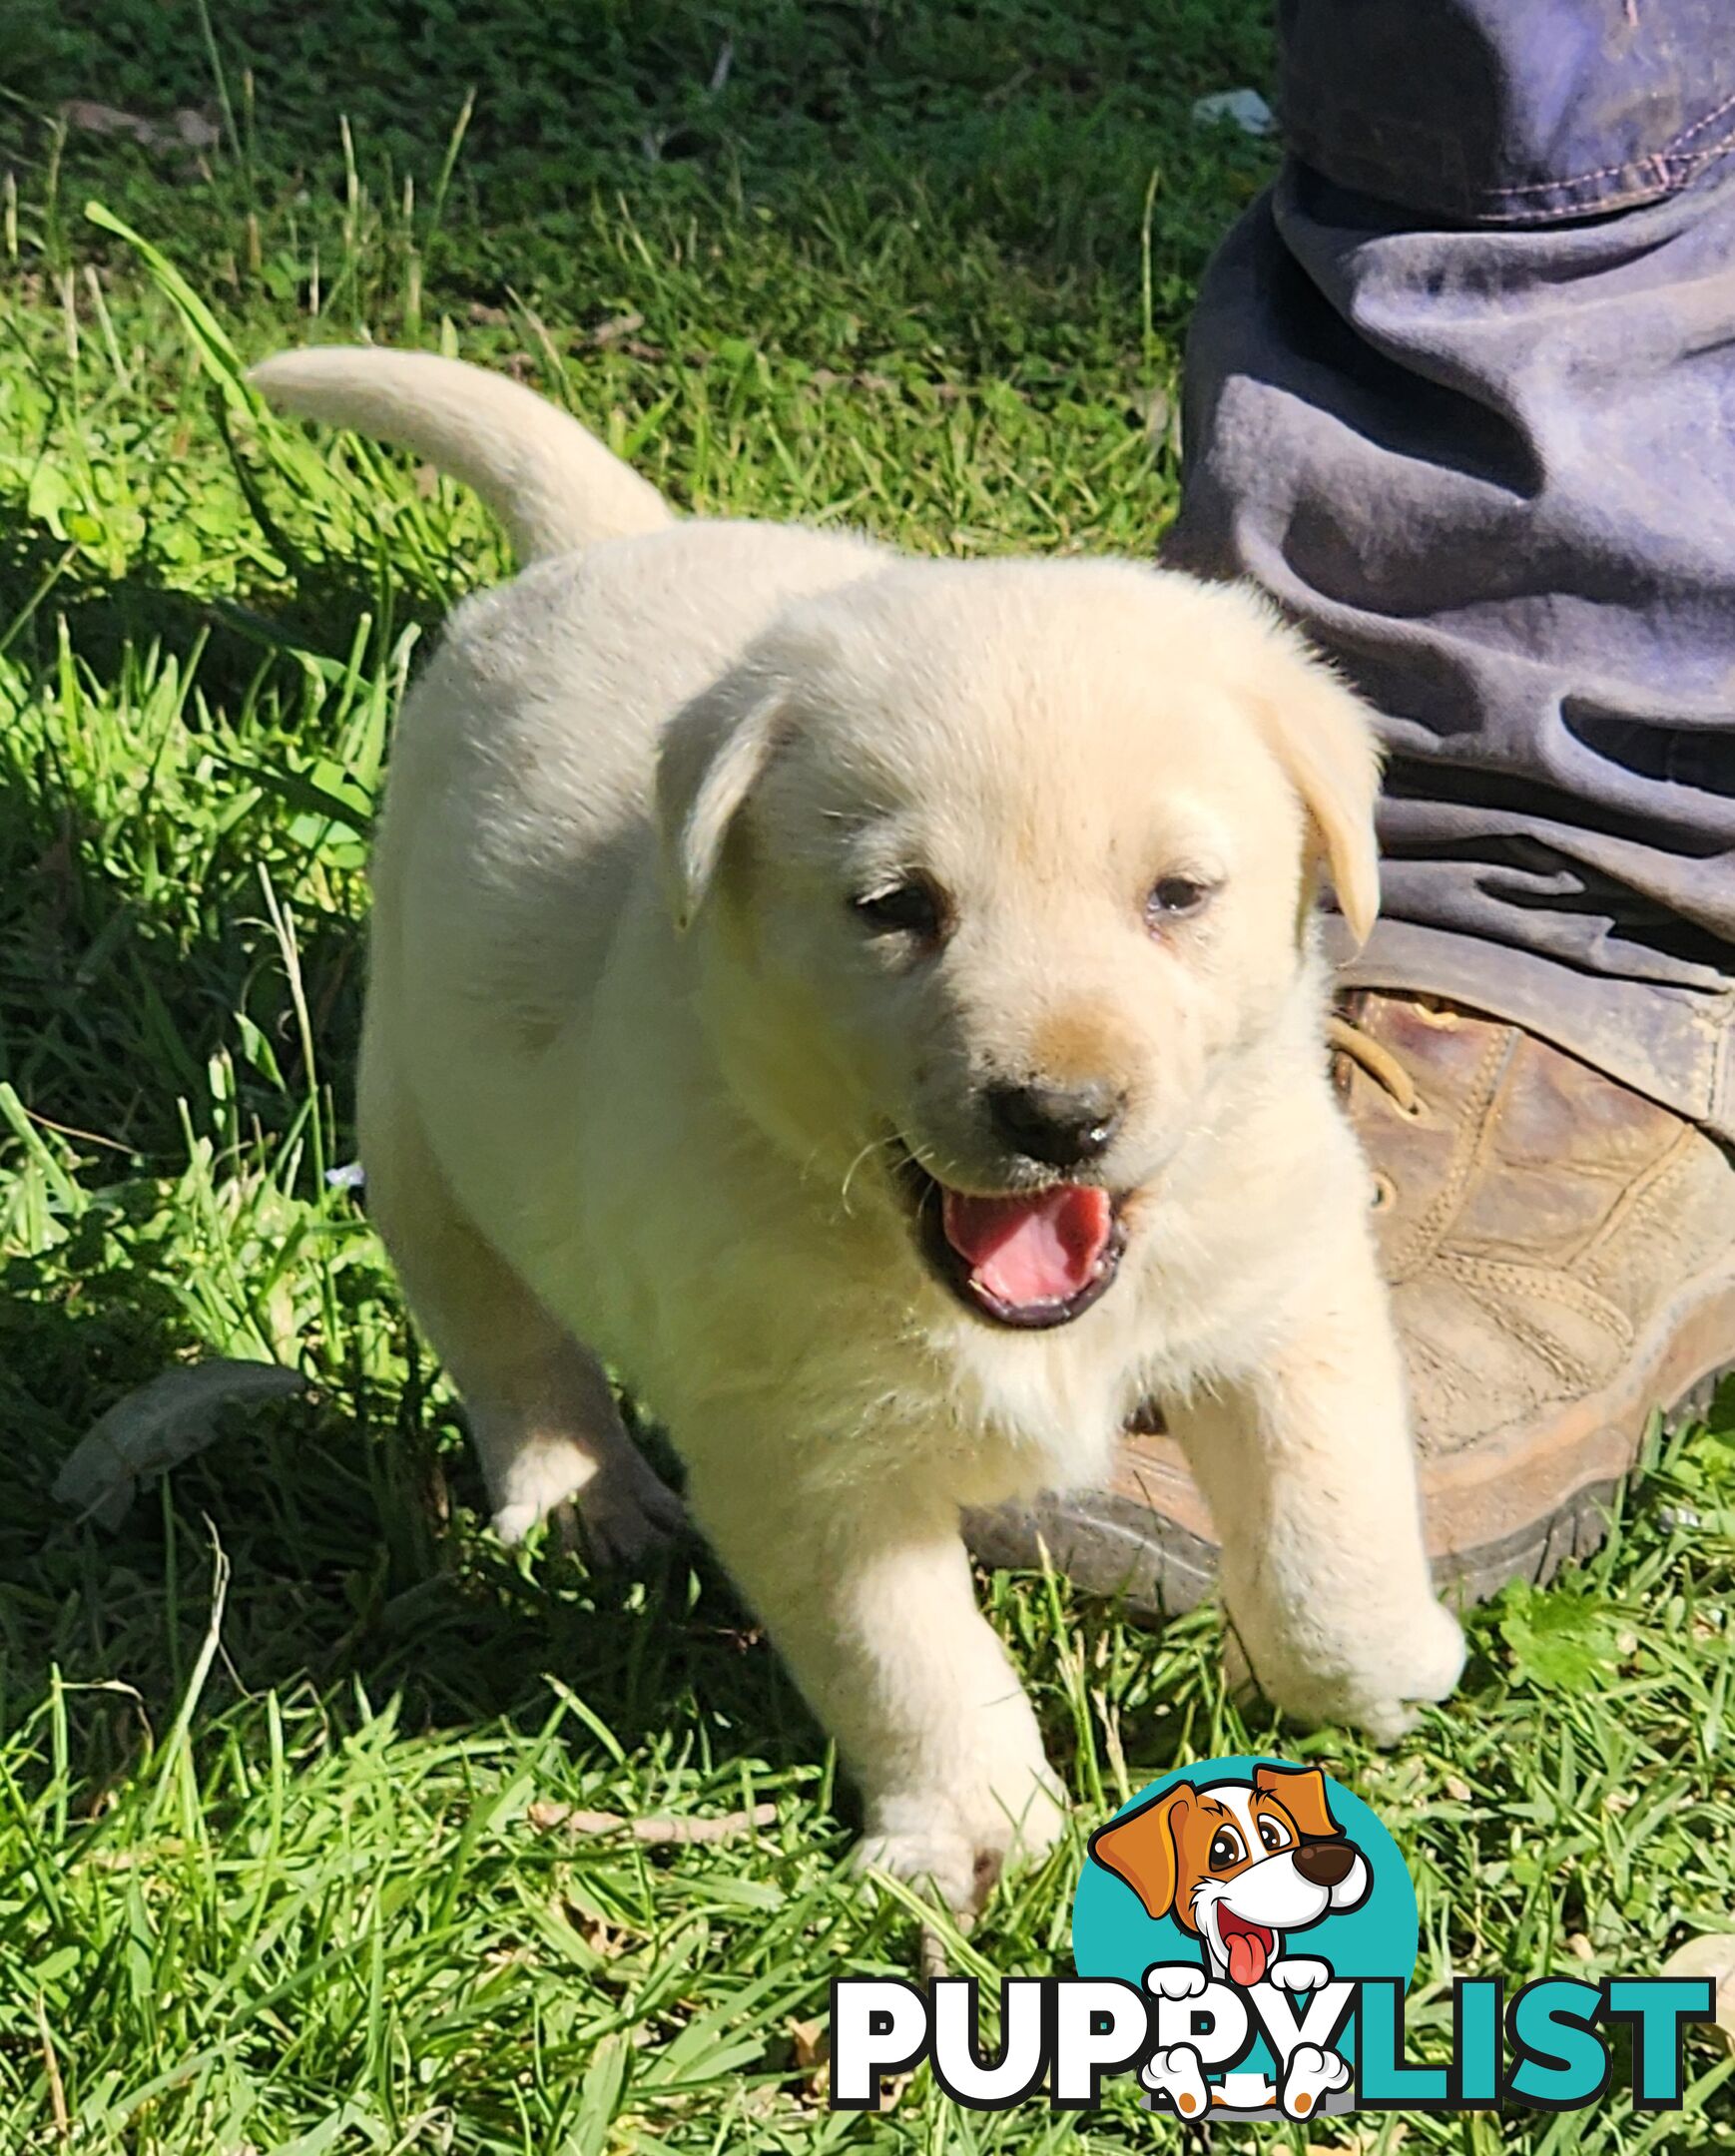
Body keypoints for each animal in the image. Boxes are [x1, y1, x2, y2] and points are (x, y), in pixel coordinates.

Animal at [247, 348, 1465, 1905]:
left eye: (1177, 896)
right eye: (896, 909)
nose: (1060, 1115)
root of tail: (611, 545)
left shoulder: (1285, 1288)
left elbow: (1331, 1520)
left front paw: (1373, 1675)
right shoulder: (801, 1450)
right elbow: (906, 1656)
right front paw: (977, 1828)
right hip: (422, 1120)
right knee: (506, 1337)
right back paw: (586, 1497)